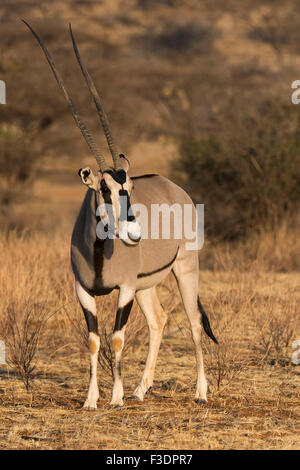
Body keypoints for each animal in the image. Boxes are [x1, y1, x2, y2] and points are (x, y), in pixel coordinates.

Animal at [25, 21, 218, 408]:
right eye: (103, 188)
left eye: (127, 185)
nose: (133, 233)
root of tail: (175, 189)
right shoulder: (84, 290)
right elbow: (93, 340)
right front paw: (90, 400)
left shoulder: (124, 289)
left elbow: (116, 338)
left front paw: (114, 398)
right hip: (146, 285)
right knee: (159, 320)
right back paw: (141, 389)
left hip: (185, 268)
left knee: (193, 322)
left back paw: (201, 393)